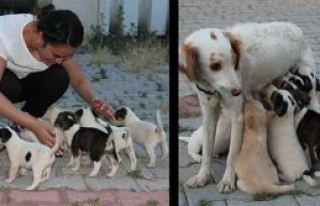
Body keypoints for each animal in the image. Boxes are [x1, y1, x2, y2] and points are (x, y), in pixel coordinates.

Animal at [179, 22, 316, 193]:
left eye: (233, 61)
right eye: (215, 66)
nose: (238, 91)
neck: (213, 88)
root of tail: (296, 28)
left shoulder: (237, 116)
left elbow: (232, 155)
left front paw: (227, 181)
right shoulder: (209, 114)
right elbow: (206, 153)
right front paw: (203, 176)